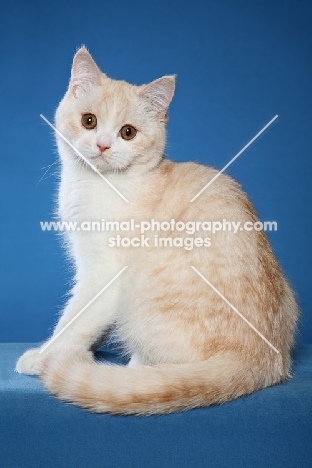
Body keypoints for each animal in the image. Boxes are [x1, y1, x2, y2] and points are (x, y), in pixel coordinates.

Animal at [15, 46, 298, 414]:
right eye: (89, 121)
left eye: (128, 133)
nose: (103, 145)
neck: (100, 184)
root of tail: (265, 360)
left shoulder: (104, 273)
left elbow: (77, 319)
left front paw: (45, 356)